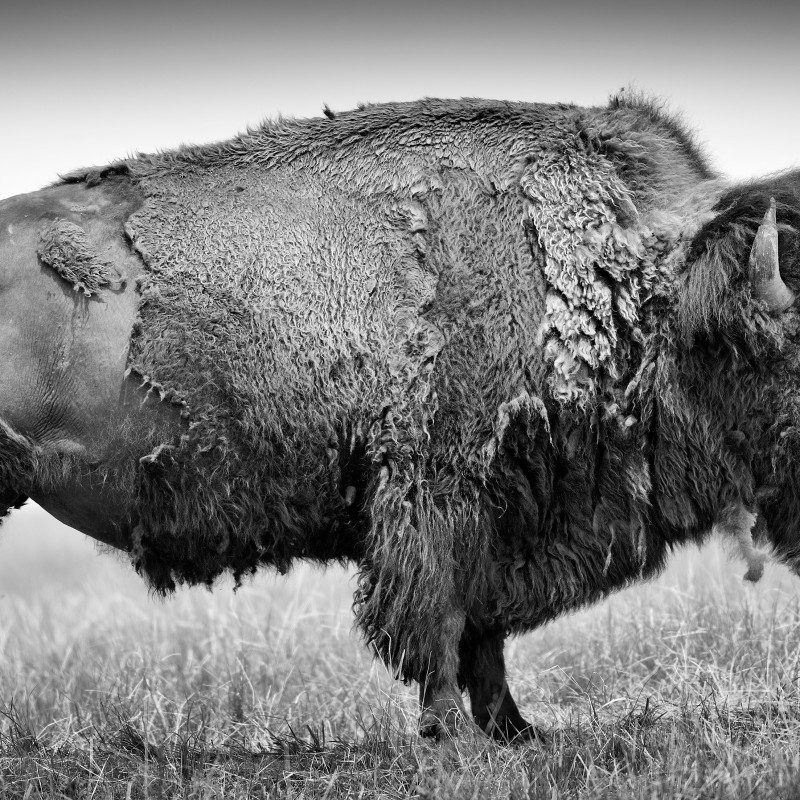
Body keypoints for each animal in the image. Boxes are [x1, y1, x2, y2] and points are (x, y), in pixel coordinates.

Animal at [2, 93, 799, 741]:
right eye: (777, 347)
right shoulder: (435, 496)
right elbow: (438, 626)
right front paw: (458, 736)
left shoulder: (493, 512)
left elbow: (482, 635)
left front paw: (517, 732)